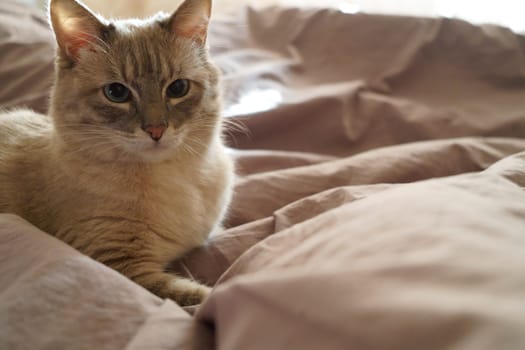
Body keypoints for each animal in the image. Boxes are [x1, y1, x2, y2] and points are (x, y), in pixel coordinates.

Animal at [0, 0, 233, 306]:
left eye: (178, 88)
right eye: (116, 93)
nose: (156, 130)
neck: (175, 175)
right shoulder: (121, 265)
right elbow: (203, 296)